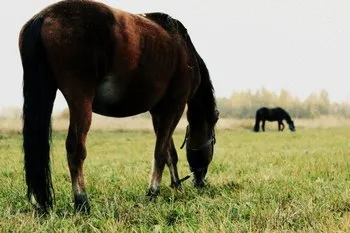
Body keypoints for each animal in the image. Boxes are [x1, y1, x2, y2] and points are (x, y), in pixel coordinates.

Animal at [19, 0, 217, 212]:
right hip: (80, 99)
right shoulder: (175, 106)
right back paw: (82, 201)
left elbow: (168, 152)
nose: (200, 181)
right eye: (212, 140)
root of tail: (44, 17)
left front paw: (175, 186)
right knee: (75, 148)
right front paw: (153, 192)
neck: (185, 51)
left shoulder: (158, 112)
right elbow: (160, 152)